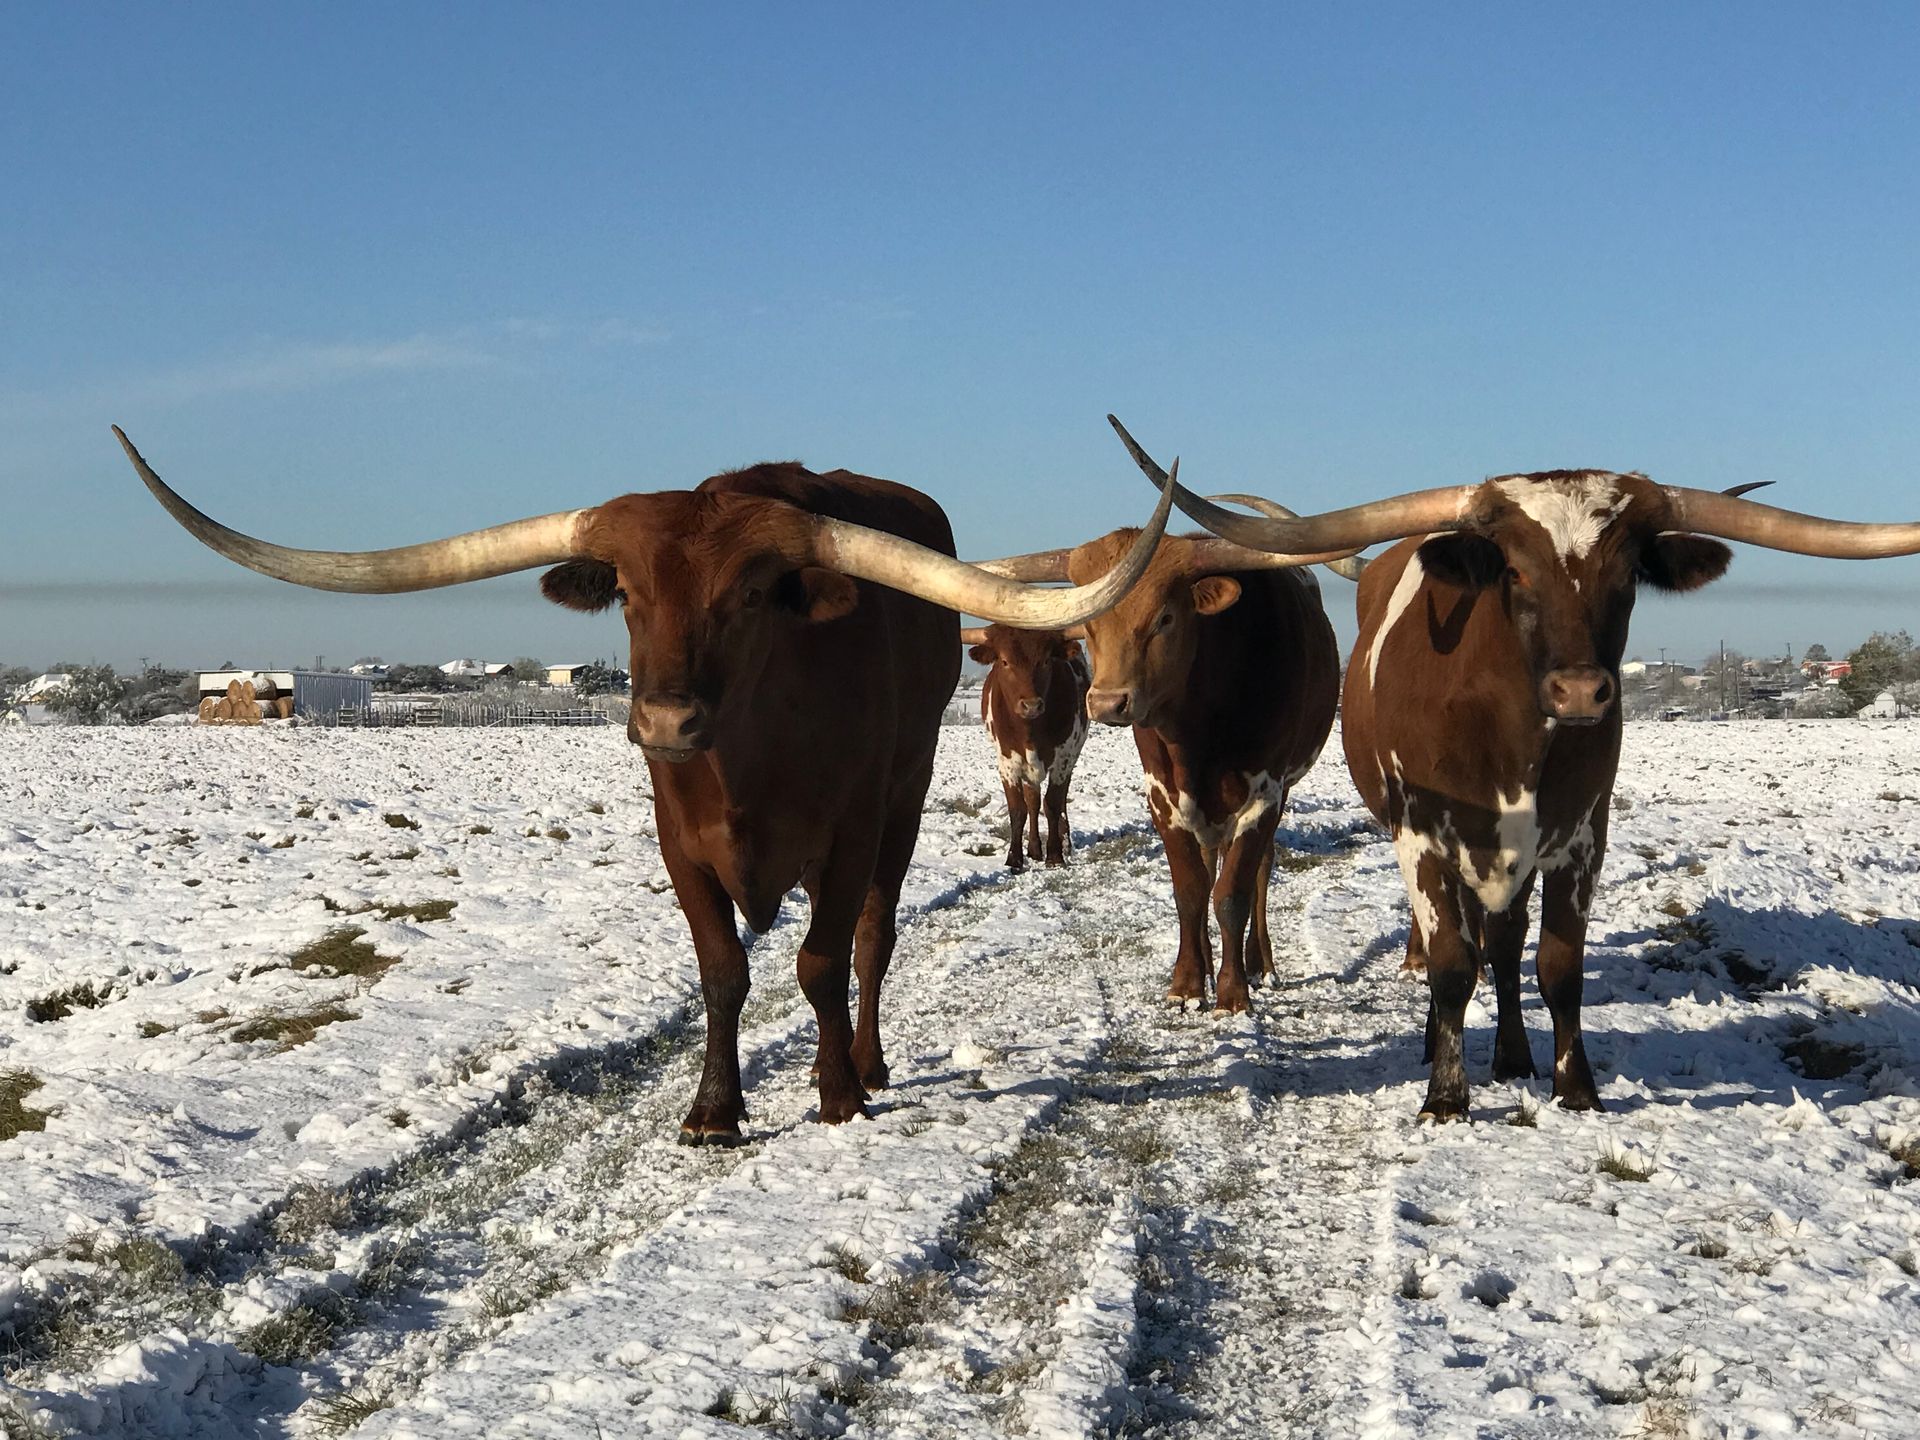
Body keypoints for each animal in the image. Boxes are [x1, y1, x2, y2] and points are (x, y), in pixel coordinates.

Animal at [961, 624, 1090, 871]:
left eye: (1047, 660)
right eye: (1004, 661)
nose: (1031, 705)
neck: (1030, 730)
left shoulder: (1063, 760)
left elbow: (1052, 804)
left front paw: (1055, 855)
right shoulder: (1007, 763)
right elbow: (1018, 808)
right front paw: (1014, 858)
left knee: (1060, 801)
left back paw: (1065, 844)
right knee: (1032, 801)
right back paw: (1034, 848)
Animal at [1119, 414, 1920, 1120]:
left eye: (1628, 570)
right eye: (1513, 568)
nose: (1581, 691)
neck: (1513, 738)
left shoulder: (1579, 839)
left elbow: (1555, 968)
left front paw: (1575, 1088)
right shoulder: (1423, 840)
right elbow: (1450, 965)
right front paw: (1445, 1097)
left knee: (1503, 947)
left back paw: (1509, 1054)